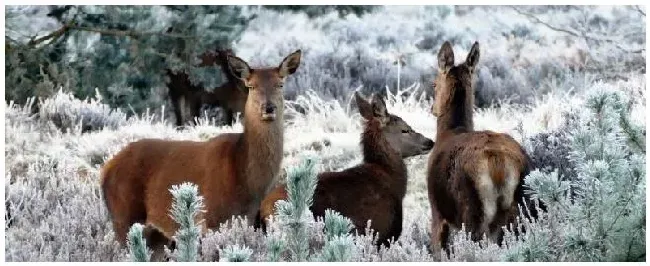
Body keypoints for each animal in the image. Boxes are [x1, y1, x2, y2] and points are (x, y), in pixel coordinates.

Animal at [102, 48, 304, 258]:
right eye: (251, 86)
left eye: (280, 84)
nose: (268, 107)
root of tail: (106, 169)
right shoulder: (212, 219)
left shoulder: (249, 219)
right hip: (124, 216)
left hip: (155, 234)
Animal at [422, 40, 536, 258]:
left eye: (434, 84)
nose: (432, 109)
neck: (450, 132)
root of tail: (499, 164)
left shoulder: (436, 211)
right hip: (521, 209)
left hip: (472, 211)